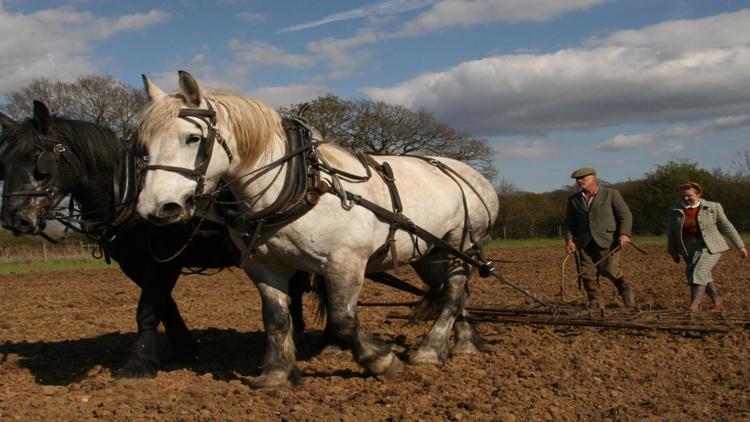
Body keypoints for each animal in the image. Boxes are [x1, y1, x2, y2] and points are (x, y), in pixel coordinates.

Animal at [0, 101, 312, 376]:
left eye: (38, 160)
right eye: (5, 162)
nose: (14, 219)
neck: (130, 190)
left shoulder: (165, 261)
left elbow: (147, 308)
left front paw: (139, 362)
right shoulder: (134, 264)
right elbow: (164, 305)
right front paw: (185, 348)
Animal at [138, 70, 502, 390]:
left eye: (193, 138)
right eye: (144, 145)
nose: (157, 207)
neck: (298, 186)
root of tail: (475, 176)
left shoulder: (345, 262)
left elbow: (344, 320)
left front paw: (381, 362)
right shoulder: (264, 266)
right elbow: (276, 318)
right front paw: (276, 375)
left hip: (460, 245)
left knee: (452, 294)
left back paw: (429, 352)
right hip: (430, 253)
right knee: (454, 293)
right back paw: (464, 344)